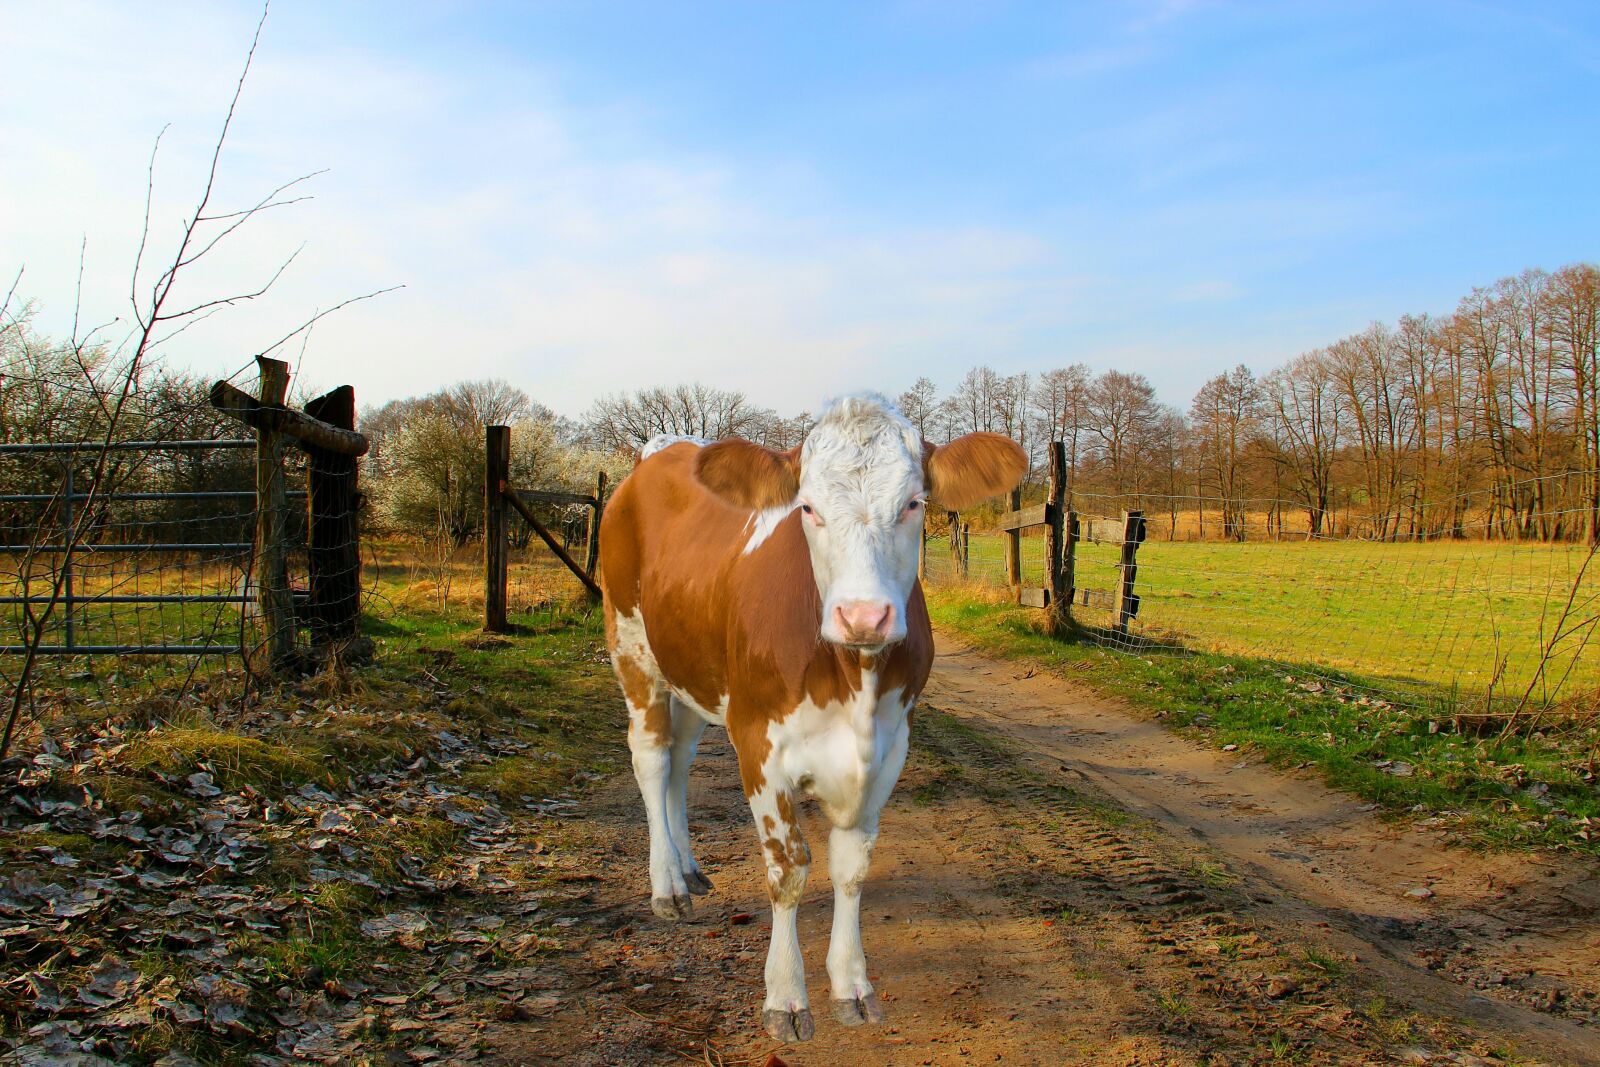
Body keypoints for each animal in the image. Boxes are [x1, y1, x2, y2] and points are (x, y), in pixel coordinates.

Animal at [599, 394, 1026, 1043]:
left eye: (914, 503)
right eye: (807, 507)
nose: (864, 616)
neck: (854, 681)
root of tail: (663, 449)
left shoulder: (889, 747)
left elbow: (851, 868)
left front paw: (852, 985)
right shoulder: (759, 745)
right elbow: (789, 870)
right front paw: (786, 996)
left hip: (696, 672)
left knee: (679, 760)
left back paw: (690, 869)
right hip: (631, 645)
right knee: (650, 757)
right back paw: (667, 884)